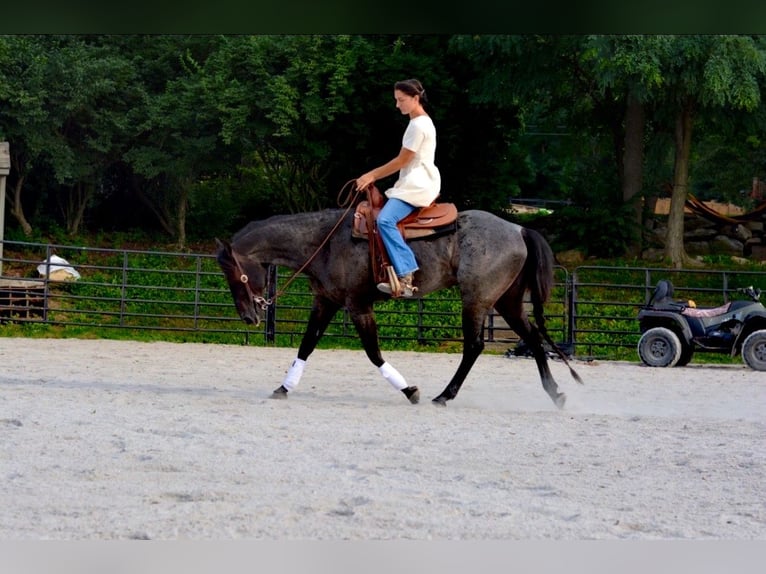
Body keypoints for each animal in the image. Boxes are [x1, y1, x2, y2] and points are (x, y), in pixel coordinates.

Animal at [216, 207, 584, 410]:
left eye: (236, 275)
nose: (248, 317)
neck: (324, 242)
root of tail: (519, 229)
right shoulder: (326, 302)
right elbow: (306, 346)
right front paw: (283, 388)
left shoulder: (358, 306)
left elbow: (373, 353)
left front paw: (410, 391)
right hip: (507, 301)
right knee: (533, 339)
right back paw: (555, 393)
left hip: (477, 299)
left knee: (475, 346)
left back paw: (444, 396)